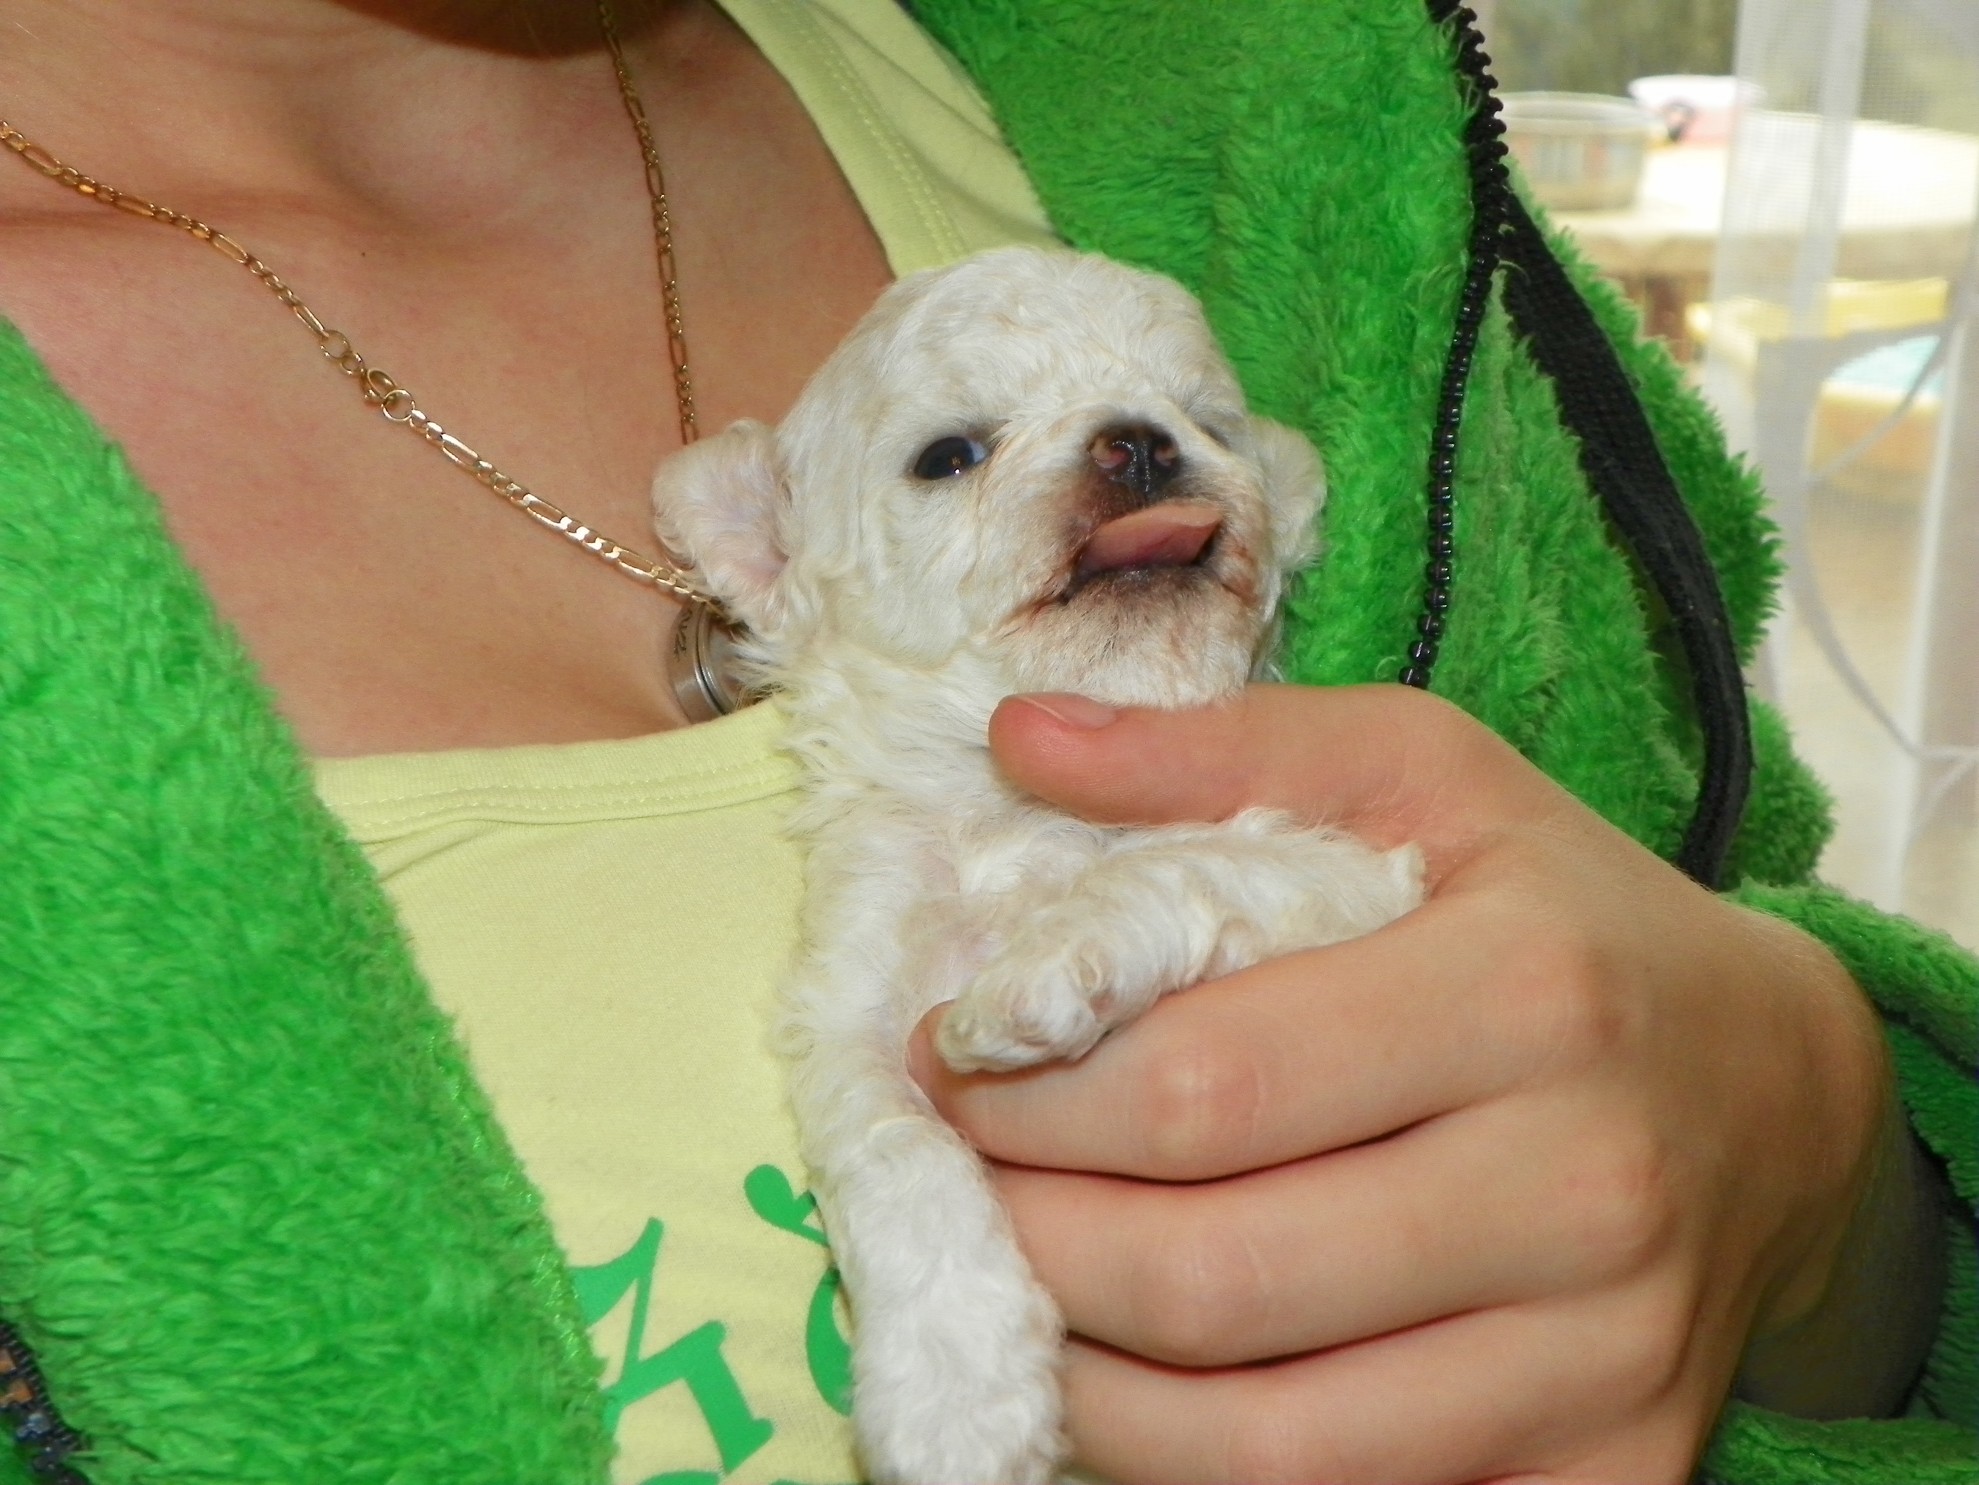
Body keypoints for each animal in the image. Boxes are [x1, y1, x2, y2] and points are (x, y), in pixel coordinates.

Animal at [653, 247, 1423, 1484]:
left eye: (1204, 421)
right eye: (948, 455)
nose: (1139, 440)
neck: (1021, 818)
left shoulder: (1350, 872)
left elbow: (1176, 870)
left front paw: (1048, 967)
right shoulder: (847, 1021)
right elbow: (901, 1156)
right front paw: (955, 1399)